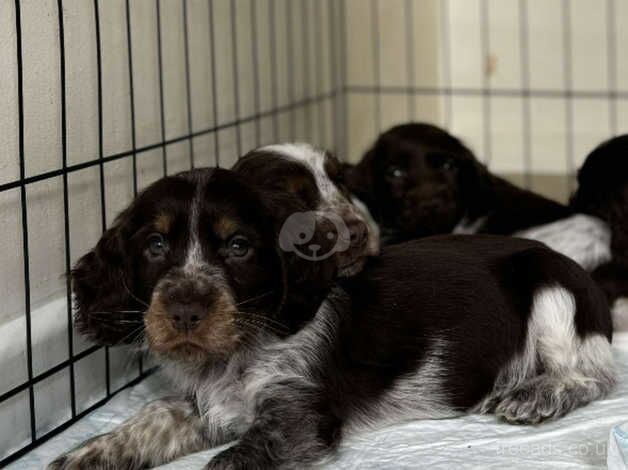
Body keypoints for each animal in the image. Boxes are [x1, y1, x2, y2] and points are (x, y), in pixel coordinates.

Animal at [50, 167, 612, 468]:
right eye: (155, 245)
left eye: (238, 246)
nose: (185, 309)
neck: (238, 352)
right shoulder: (211, 404)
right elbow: (154, 414)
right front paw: (89, 452)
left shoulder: (298, 415)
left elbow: (234, 459)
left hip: (552, 288)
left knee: (594, 376)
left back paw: (535, 393)